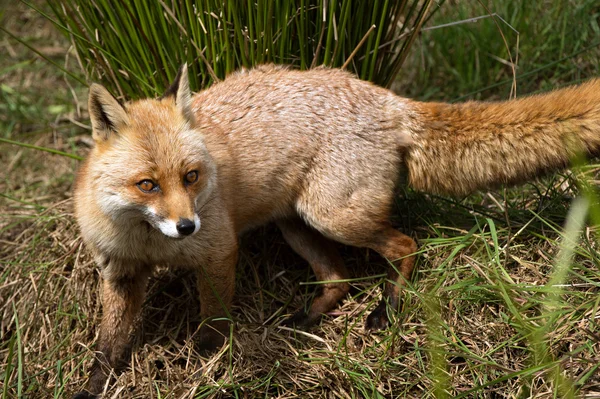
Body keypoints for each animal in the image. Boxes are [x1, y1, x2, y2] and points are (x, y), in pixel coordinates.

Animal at [72, 64, 600, 398]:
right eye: (148, 184)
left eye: (191, 177)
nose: (186, 225)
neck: (148, 241)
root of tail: (386, 98)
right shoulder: (119, 271)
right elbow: (108, 346)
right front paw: (92, 388)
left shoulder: (220, 250)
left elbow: (213, 324)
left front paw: (201, 362)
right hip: (297, 225)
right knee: (339, 277)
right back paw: (307, 319)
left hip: (333, 216)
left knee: (406, 244)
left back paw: (389, 307)